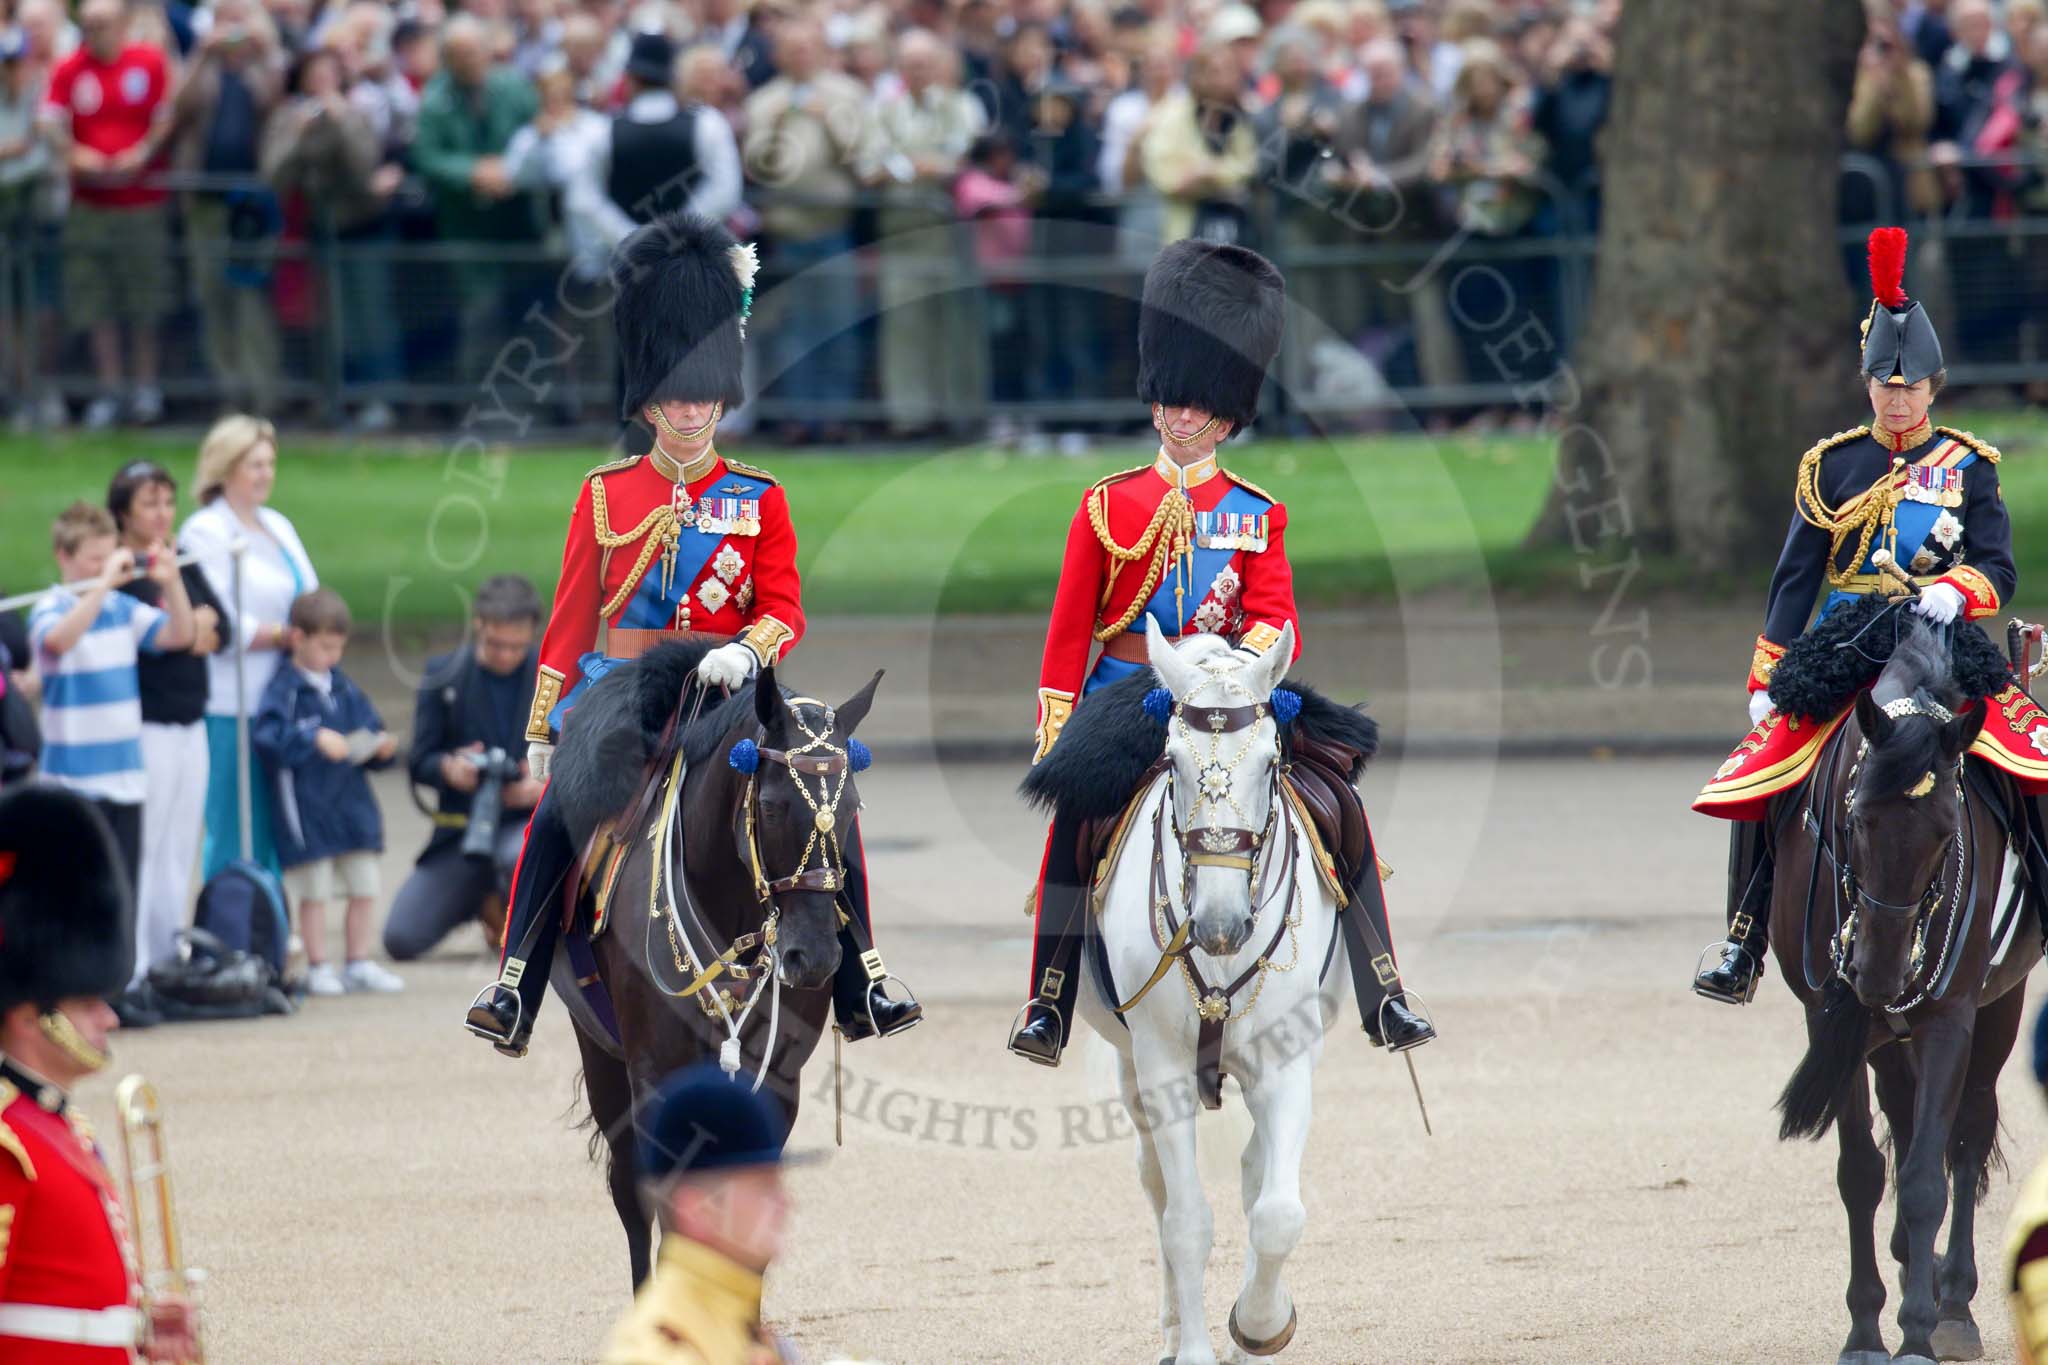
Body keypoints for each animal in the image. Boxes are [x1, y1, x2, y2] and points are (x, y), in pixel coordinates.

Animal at [544, 646, 880, 1285]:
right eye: (770, 807)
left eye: (852, 806)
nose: (814, 957)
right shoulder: (657, 1080)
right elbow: (673, 1216)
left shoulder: (775, 1083)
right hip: (601, 1056)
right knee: (631, 1199)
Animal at [1769, 622, 2039, 1365]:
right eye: (1856, 820)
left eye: (1948, 832)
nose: (1880, 974)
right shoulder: (1828, 1017)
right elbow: (1862, 1169)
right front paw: (1865, 1329)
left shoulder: (1952, 1014)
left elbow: (1924, 1178)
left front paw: (1920, 1329)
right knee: (1903, 1109)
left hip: (1996, 1008)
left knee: (1967, 1135)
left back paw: (1954, 1302)